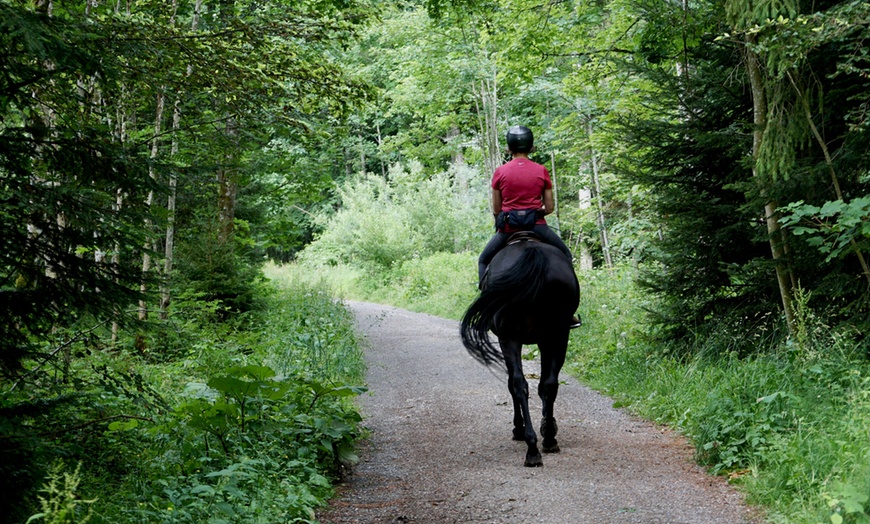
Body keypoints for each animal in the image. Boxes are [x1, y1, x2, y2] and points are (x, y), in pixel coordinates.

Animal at [464, 237, 580, 466]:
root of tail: (533, 252)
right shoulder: (545, 340)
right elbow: (544, 384)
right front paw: (547, 425)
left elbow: (513, 383)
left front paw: (519, 427)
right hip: (559, 334)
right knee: (549, 384)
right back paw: (547, 440)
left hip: (510, 338)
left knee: (519, 384)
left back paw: (532, 445)